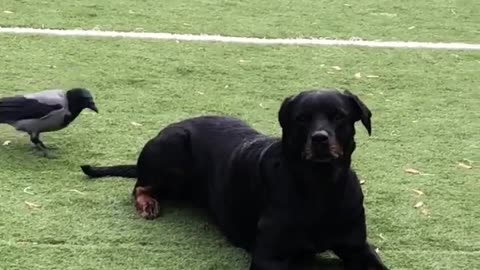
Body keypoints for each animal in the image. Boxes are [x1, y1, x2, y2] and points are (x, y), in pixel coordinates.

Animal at [81, 89, 390, 270]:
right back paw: (147, 203)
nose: (320, 139)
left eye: (339, 116)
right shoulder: (270, 257)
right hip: (174, 149)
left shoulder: (358, 247)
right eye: (301, 119)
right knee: (139, 186)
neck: (320, 186)